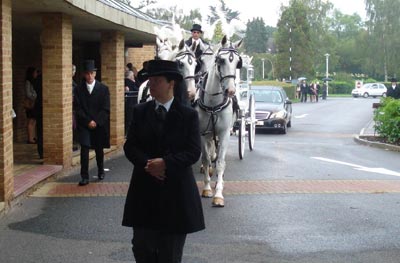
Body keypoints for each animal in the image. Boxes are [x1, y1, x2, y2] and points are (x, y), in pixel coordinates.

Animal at [196, 35, 242, 208]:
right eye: (221, 60)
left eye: (238, 62)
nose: (230, 91)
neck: (212, 103)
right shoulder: (202, 133)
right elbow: (206, 159)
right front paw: (207, 188)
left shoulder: (224, 133)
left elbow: (221, 162)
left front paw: (218, 195)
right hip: (209, 134)